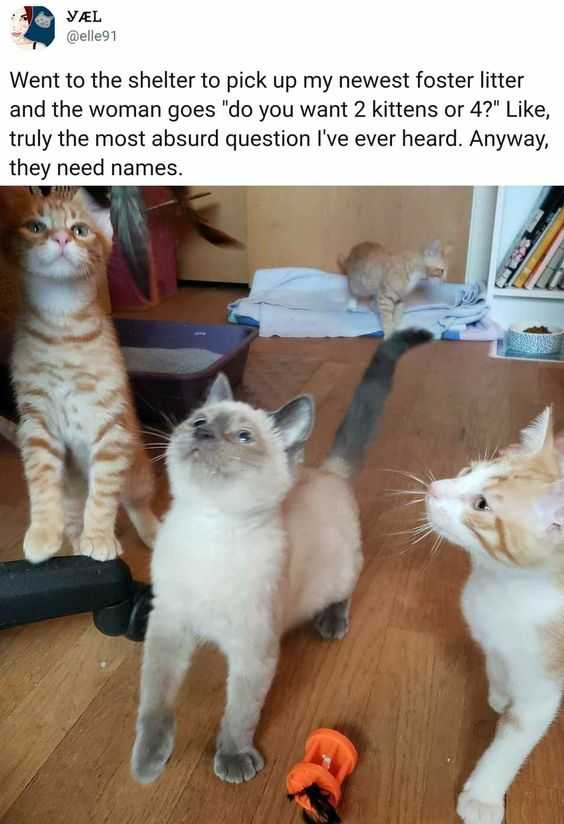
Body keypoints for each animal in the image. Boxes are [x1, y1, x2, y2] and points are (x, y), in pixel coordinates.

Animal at [0, 186, 159, 560]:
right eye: (36, 226)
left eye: (80, 230)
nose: (60, 238)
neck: (62, 326)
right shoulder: (37, 424)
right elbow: (42, 483)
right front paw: (43, 531)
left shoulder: (110, 427)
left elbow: (103, 495)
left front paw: (99, 536)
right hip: (71, 488)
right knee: (73, 518)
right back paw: (74, 541)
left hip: (136, 469)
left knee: (134, 501)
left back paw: (150, 531)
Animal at [133, 328, 432, 784]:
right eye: (199, 422)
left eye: (243, 437)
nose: (203, 434)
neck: (211, 528)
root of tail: (327, 471)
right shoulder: (167, 626)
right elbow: (155, 701)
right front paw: (148, 763)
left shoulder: (252, 650)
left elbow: (239, 714)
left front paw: (233, 760)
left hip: (342, 571)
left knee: (343, 594)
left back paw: (331, 624)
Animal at [428, 408, 564, 824]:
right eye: (467, 469)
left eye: (482, 505)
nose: (433, 487)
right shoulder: (492, 636)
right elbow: (496, 663)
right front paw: (502, 693)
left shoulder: (544, 685)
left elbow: (513, 740)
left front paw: (482, 797)